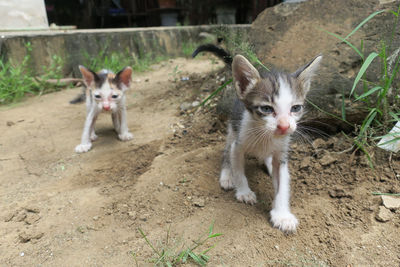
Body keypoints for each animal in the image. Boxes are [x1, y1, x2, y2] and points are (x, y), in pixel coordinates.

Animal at [193, 45, 322, 233]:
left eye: (296, 108)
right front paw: (244, 191)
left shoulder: (281, 154)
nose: (284, 126)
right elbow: (238, 169)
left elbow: (283, 184)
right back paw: (227, 175)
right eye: (266, 109)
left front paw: (282, 215)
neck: (265, 135)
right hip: (233, 127)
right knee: (226, 152)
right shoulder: (238, 144)